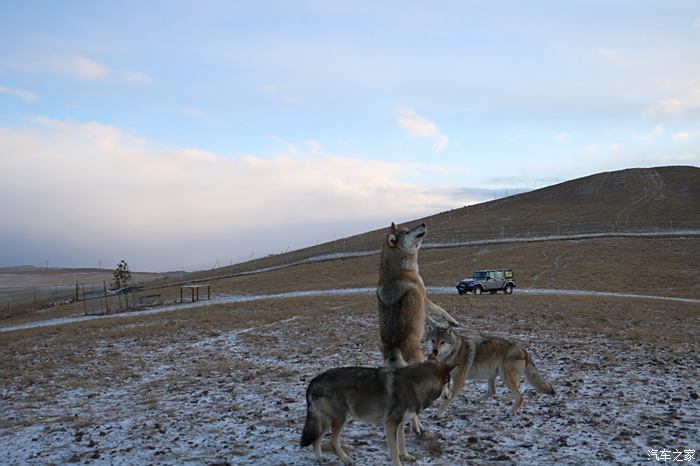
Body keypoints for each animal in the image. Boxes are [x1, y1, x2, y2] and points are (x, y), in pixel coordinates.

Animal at [300, 358, 454, 466]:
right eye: (448, 383)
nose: (451, 395)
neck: (415, 386)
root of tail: (313, 381)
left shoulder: (400, 423)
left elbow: (402, 443)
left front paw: (406, 456)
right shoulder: (390, 423)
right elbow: (394, 450)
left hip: (326, 421)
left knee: (316, 439)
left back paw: (320, 458)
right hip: (339, 420)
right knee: (332, 441)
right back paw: (346, 460)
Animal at [424, 324, 556, 416]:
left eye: (442, 342)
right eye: (433, 340)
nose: (435, 351)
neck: (453, 352)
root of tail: (524, 350)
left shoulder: (459, 381)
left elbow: (448, 399)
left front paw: (437, 414)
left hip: (506, 378)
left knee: (520, 397)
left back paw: (511, 412)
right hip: (491, 375)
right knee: (492, 391)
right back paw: (475, 400)